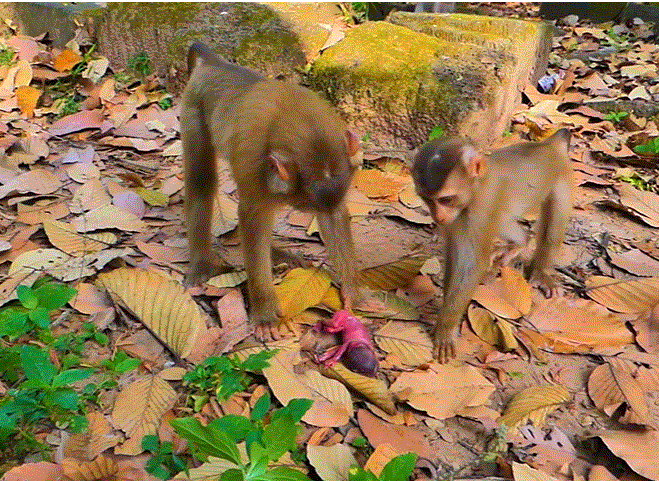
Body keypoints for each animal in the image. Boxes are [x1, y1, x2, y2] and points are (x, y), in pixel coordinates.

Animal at [180, 42, 362, 342]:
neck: (295, 120)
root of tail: (214, 64)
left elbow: (334, 216)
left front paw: (352, 291)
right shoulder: (254, 166)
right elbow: (253, 221)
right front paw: (265, 314)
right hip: (193, 108)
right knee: (201, 182)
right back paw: (201, 263)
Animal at [412, 130, 573, 362]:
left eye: (446, 199)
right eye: (427, 200)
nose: (438, 217)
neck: (477, 186)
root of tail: (551, 145)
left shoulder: (481, 207)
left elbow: (472, 264)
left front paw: (446, 327)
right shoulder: (457, 218)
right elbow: (455, 254)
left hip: (562, 179)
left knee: (552, 228)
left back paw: (542, 271)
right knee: (506, 221)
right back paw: (521, 242)